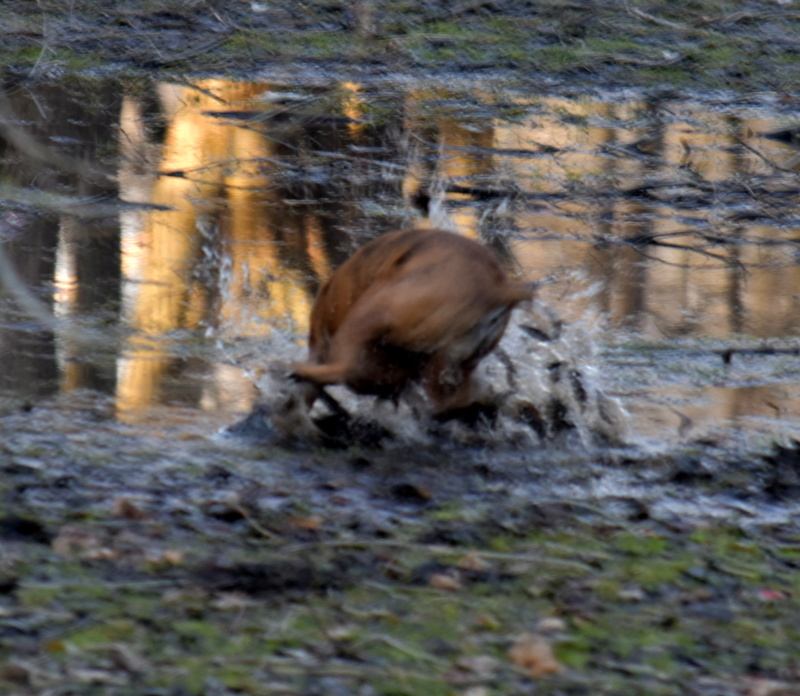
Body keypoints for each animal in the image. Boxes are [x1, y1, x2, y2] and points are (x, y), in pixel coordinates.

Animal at [290, 230, 536, 418]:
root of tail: (498, 288)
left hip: (374, 310)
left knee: (343, 368)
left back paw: (298, 371)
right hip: (448, 362)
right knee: (458, 398)